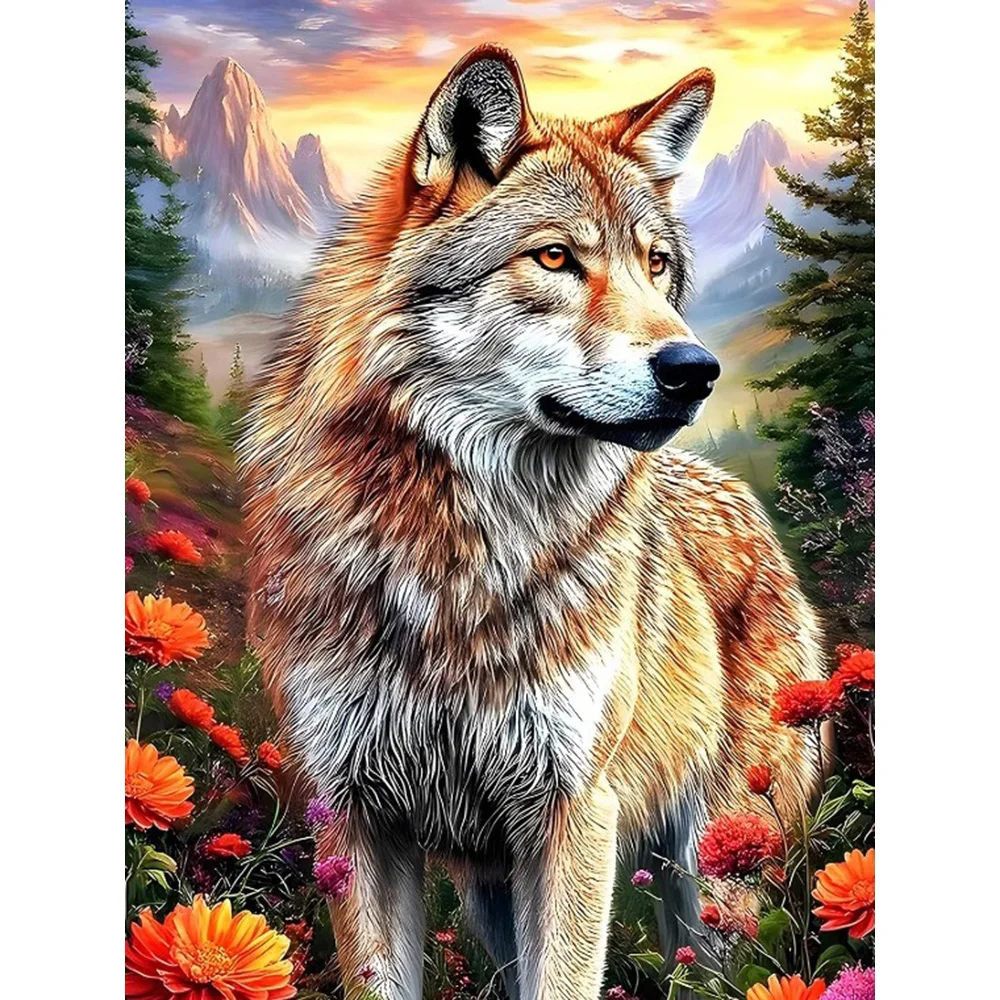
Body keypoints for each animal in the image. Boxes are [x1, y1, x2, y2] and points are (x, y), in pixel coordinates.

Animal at [241, 45, 822, 1000]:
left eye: (656, 266)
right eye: (554, 257)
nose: (697, 369)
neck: (454, 557)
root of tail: (742, 500)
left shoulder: (573, 811)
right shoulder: (357, 819)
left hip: (719, 875)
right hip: (494, 892)